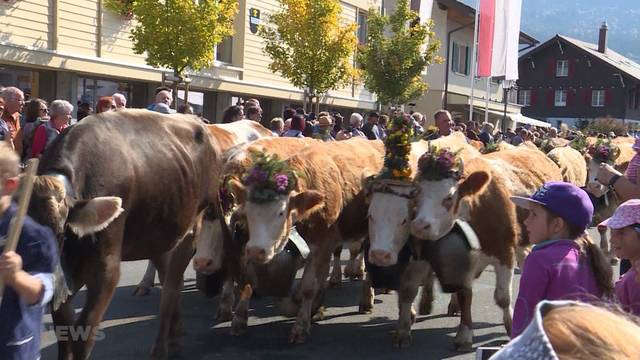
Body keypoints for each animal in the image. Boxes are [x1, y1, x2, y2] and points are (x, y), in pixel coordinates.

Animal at [27, 110, 221, 360]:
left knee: (170, 289)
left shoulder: (106, 269)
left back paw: (161, 348)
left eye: (58, 233)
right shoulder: (65, 274)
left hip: (191, 227)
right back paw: (175, 334)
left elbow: (84, 332)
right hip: (158, 231)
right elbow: (64, 331)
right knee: (166, 274)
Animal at [229, 139, 384, 344]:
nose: (256, 250)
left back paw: (366, 298)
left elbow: (308, 287)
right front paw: (239, 319)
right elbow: (250, 283)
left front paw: (300, 326)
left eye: (281, 212)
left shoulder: (322, 243)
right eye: (248, 212)